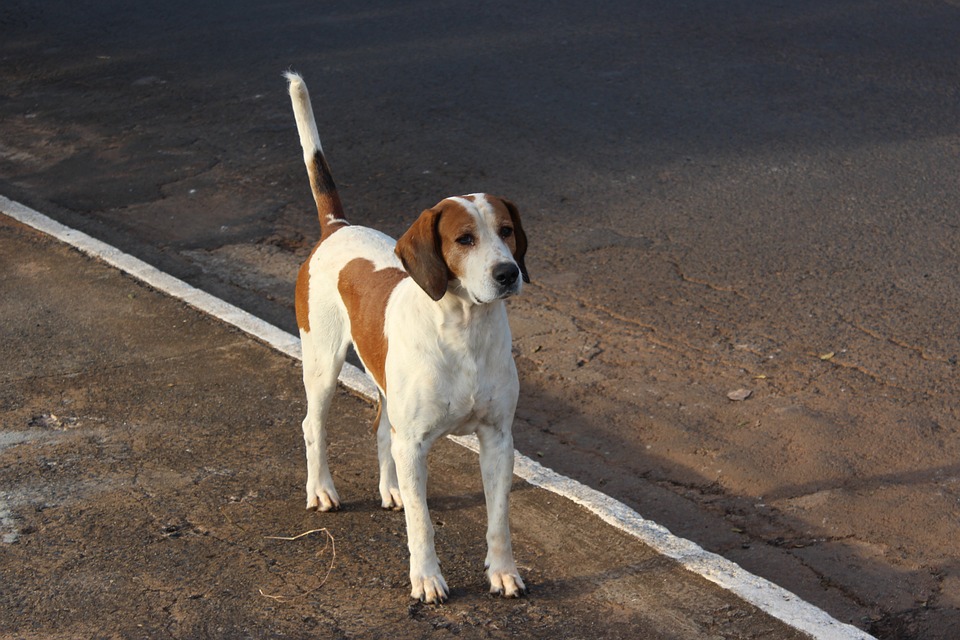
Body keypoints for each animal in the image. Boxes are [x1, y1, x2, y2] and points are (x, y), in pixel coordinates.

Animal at [284, 72, 528, 604]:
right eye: (464, 239)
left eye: (506, 230)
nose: (508, 273)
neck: (464, 334)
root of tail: (337, 227)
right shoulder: (415, 444)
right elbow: (423, 524)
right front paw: (427, 578)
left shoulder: (498, 438)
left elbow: (499, 519)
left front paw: (502, 572)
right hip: (322, 365)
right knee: (315, 426)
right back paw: (321, 490)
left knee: (382, 430)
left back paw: (390, 487)